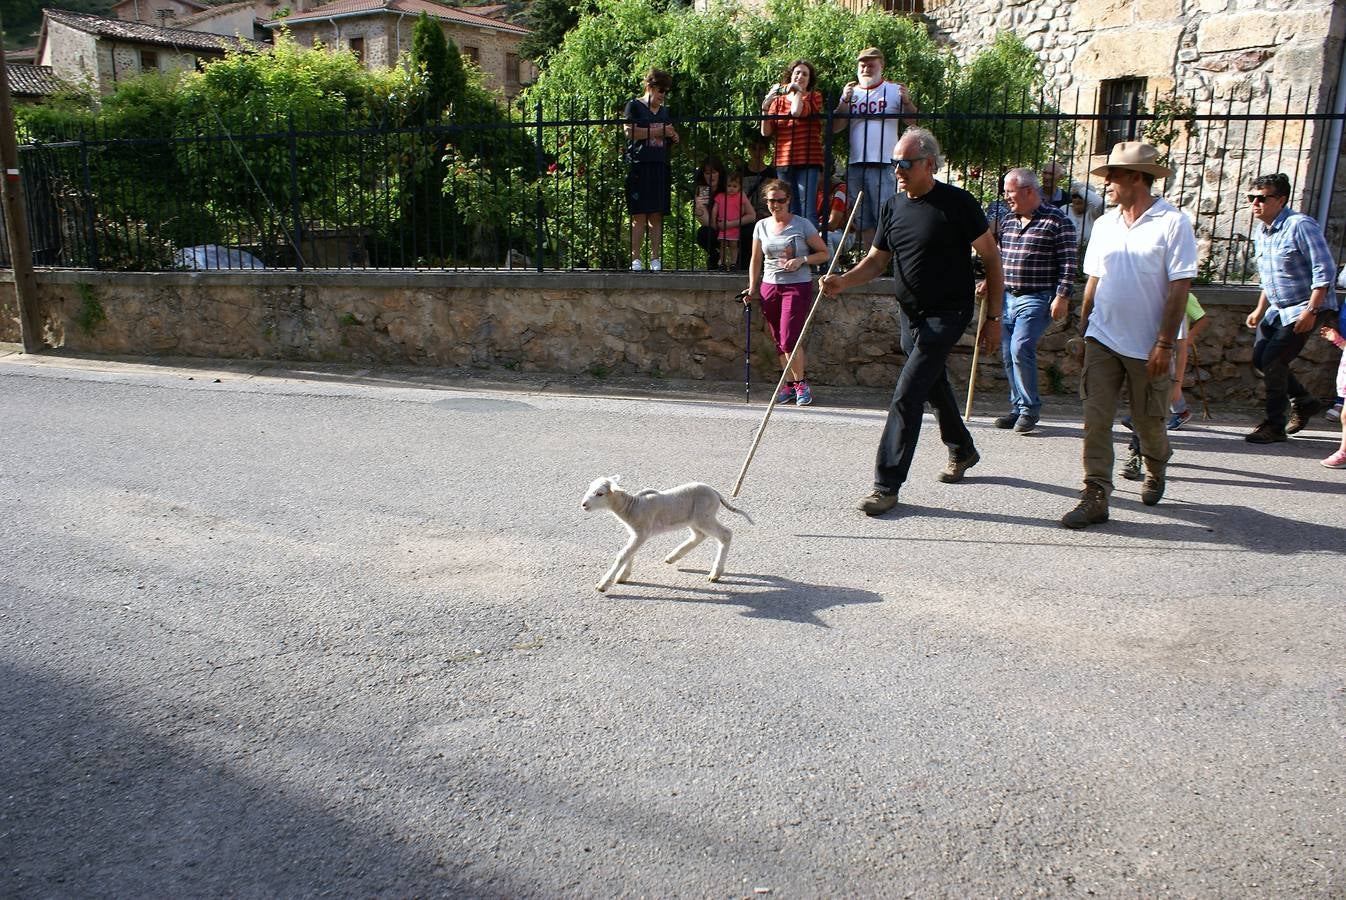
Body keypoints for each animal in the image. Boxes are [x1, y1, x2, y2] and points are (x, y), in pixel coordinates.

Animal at [581, 473, 759, 591]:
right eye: (589, 488)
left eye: (600, 493)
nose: (583, 504)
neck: (632, 507)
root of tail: (715, 492)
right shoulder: (636, 534)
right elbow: (630, 553)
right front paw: (623, 576)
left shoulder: (642, 532)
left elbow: (623, 554)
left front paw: (604, 584)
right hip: (693, 519)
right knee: (699, 535)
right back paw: (673, 557)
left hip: (704, 516)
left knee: (725, 534)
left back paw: (715, 573)